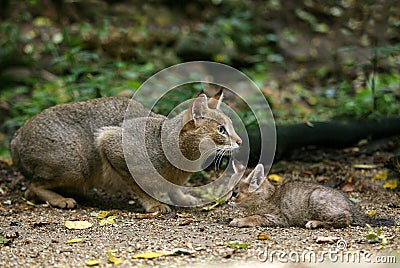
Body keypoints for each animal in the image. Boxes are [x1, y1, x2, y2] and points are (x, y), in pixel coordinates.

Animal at [10, 93, 242, 213]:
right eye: (221, 130)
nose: (239, 142)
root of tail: (16, 138)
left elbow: (173, 188)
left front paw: (182, 198)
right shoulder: (111, 145)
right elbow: (137, 187)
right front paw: (154, 205)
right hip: (77, 167)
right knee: (32, 186)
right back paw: (61, 200)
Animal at [228, 163, 394, 228]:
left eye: (235, 193)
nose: (227, 201)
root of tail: (348, 203)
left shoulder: (278, 218)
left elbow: (255, 217)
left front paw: (240, 220)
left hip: (315, 199)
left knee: (346, 218)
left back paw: (315, 223)